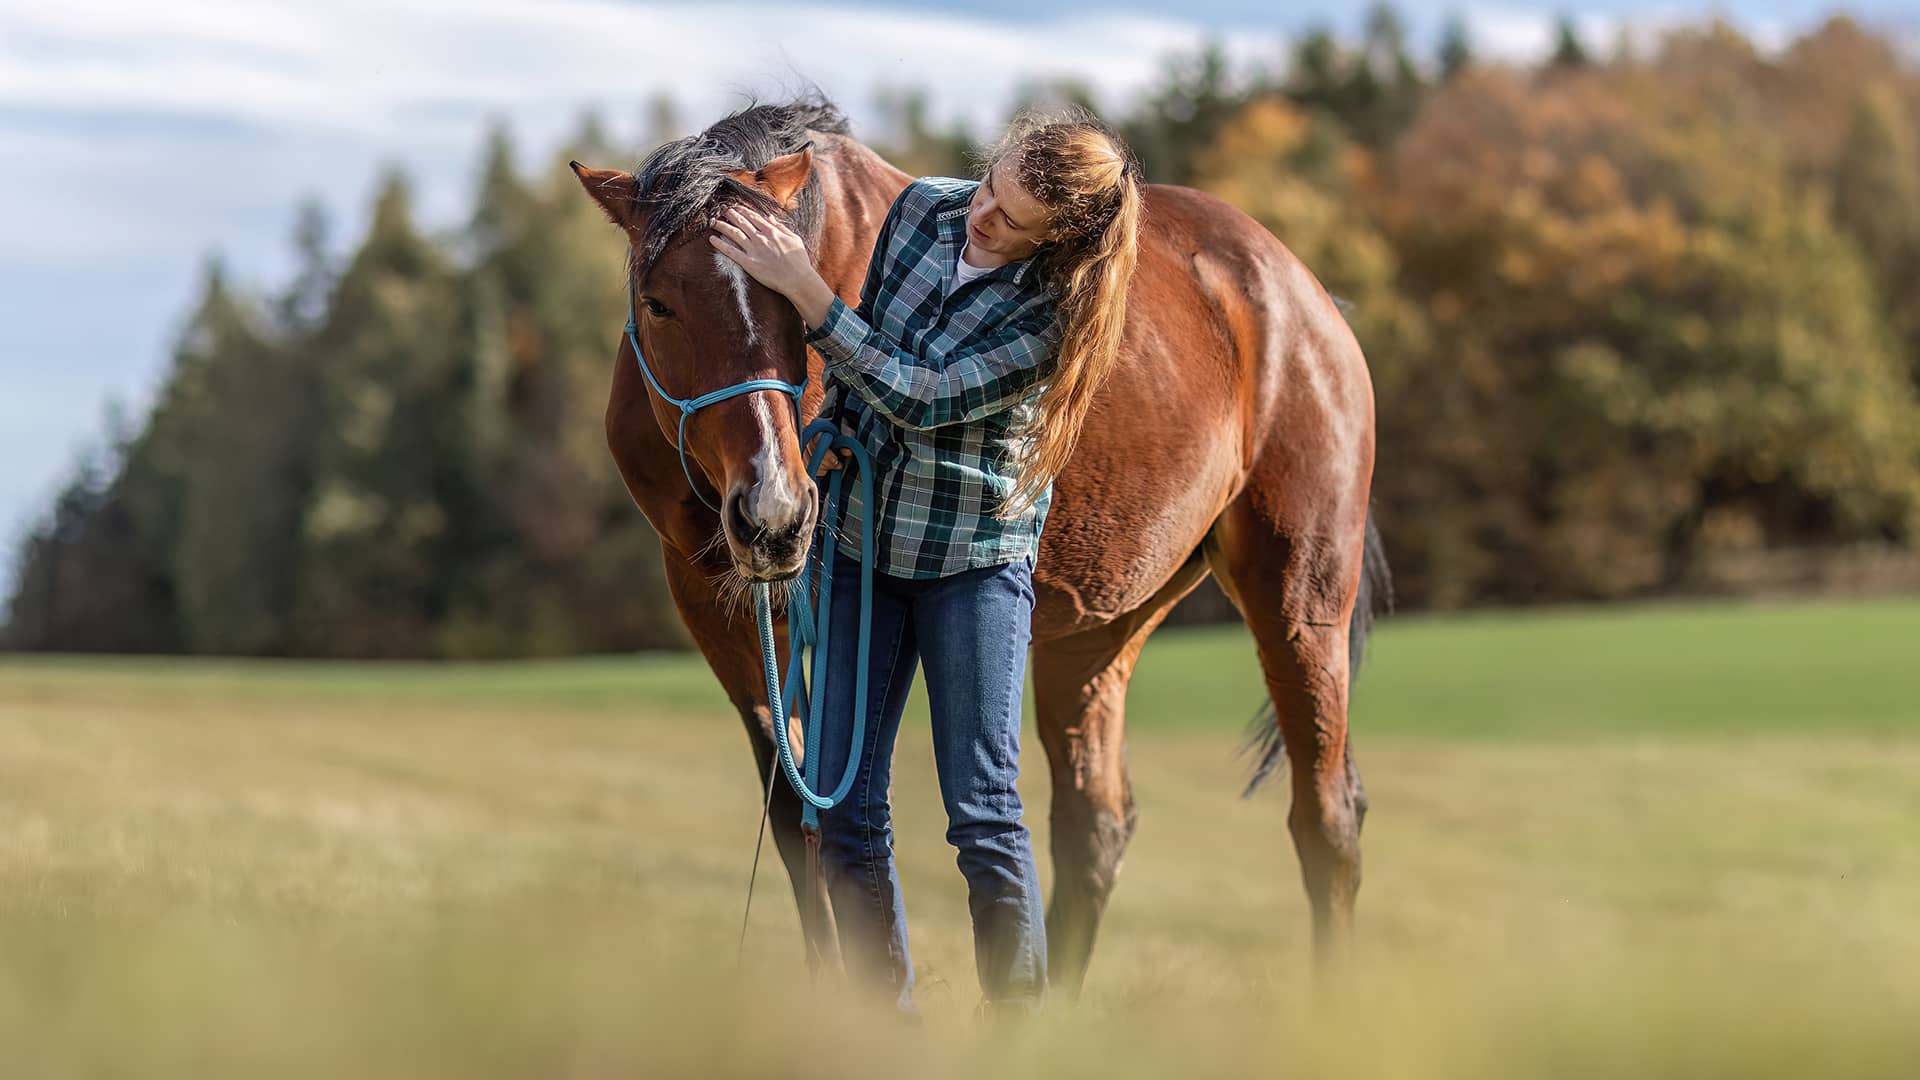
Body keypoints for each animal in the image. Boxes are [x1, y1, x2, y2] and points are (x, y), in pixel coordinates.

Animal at [571, 94, 1388, 993]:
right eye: (657, 301)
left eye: (788, 299)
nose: (774, 512)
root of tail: (1305, 296)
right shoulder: (715, 601)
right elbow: (797, 816)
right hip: (1098, 630)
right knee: (1093, 824)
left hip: (1298, 599)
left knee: (1326, 817)